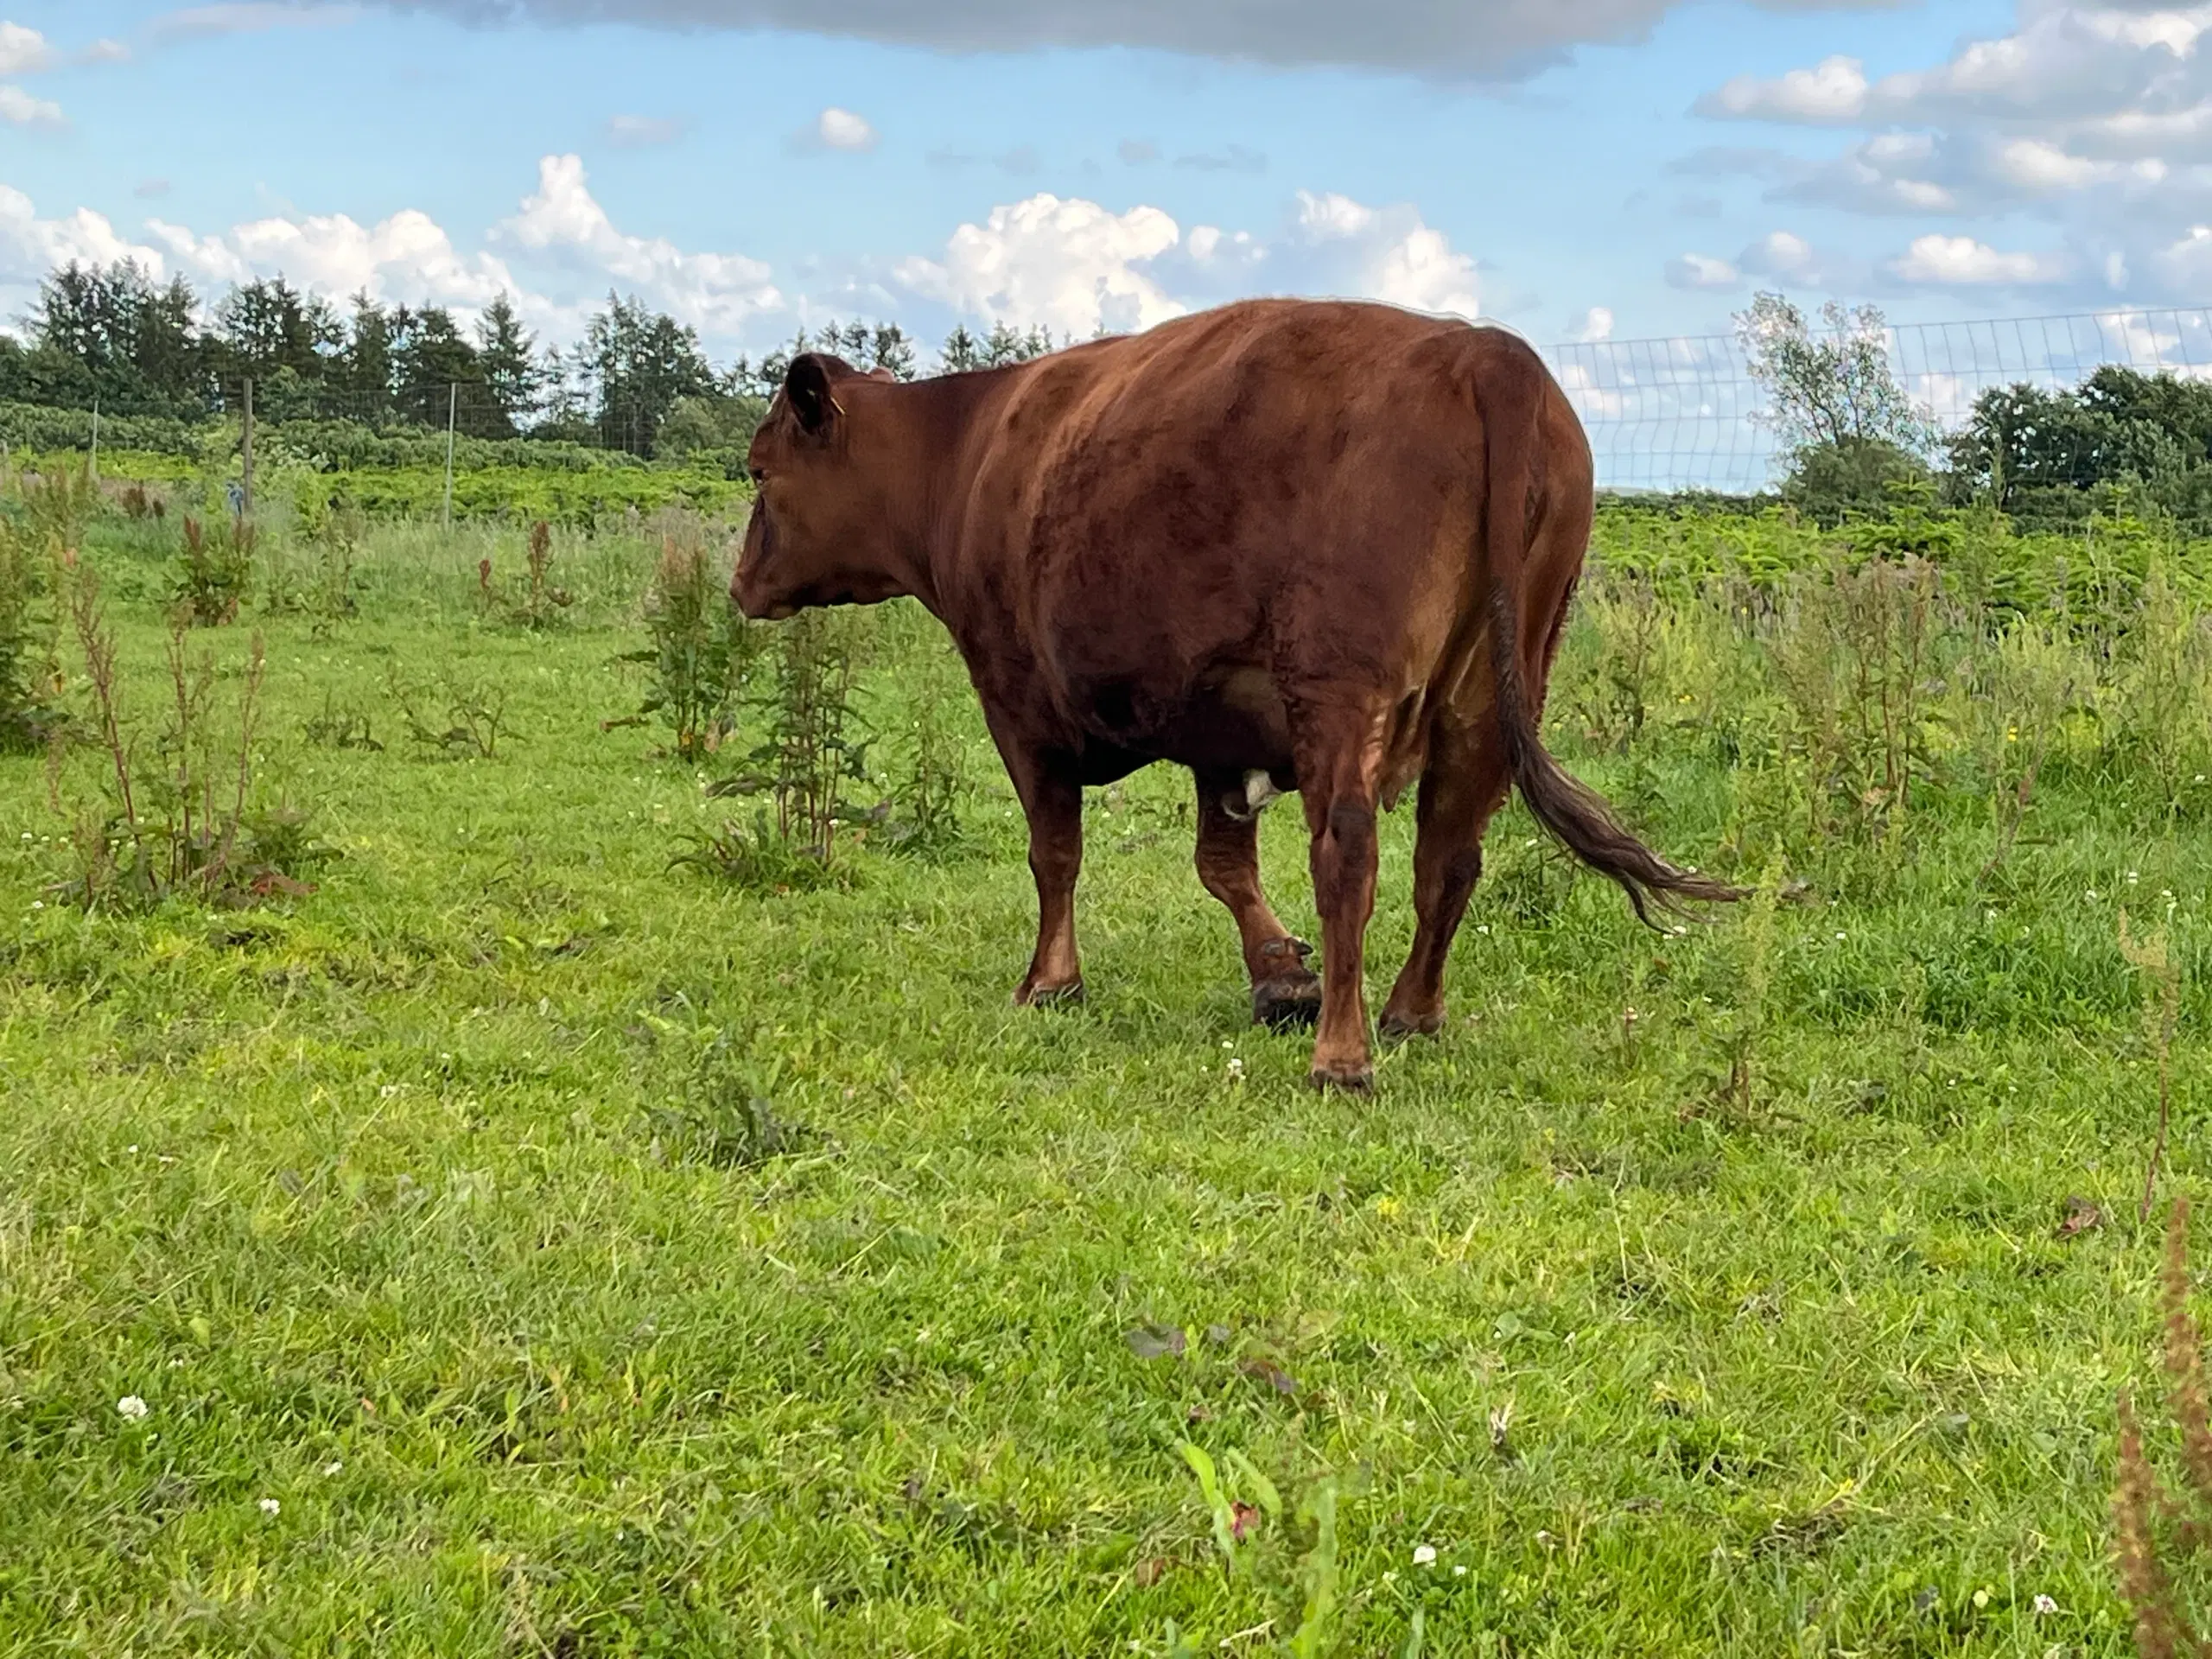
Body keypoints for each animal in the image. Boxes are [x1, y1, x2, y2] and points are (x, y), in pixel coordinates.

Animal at [734, 298, 1734, 1092]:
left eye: (757, 470)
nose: (741, 584)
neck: (965, 455)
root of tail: (1484, 351)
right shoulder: (1222, 729)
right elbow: (1224, 865)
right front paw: (1280, 976)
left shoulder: (1016, 702)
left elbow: (1054, 853)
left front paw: (1050, 982)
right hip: (1490, 689)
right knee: (1447, 858)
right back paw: (1410, 1014)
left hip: (1341, 689)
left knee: (1350, 856)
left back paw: (1342, 1057)